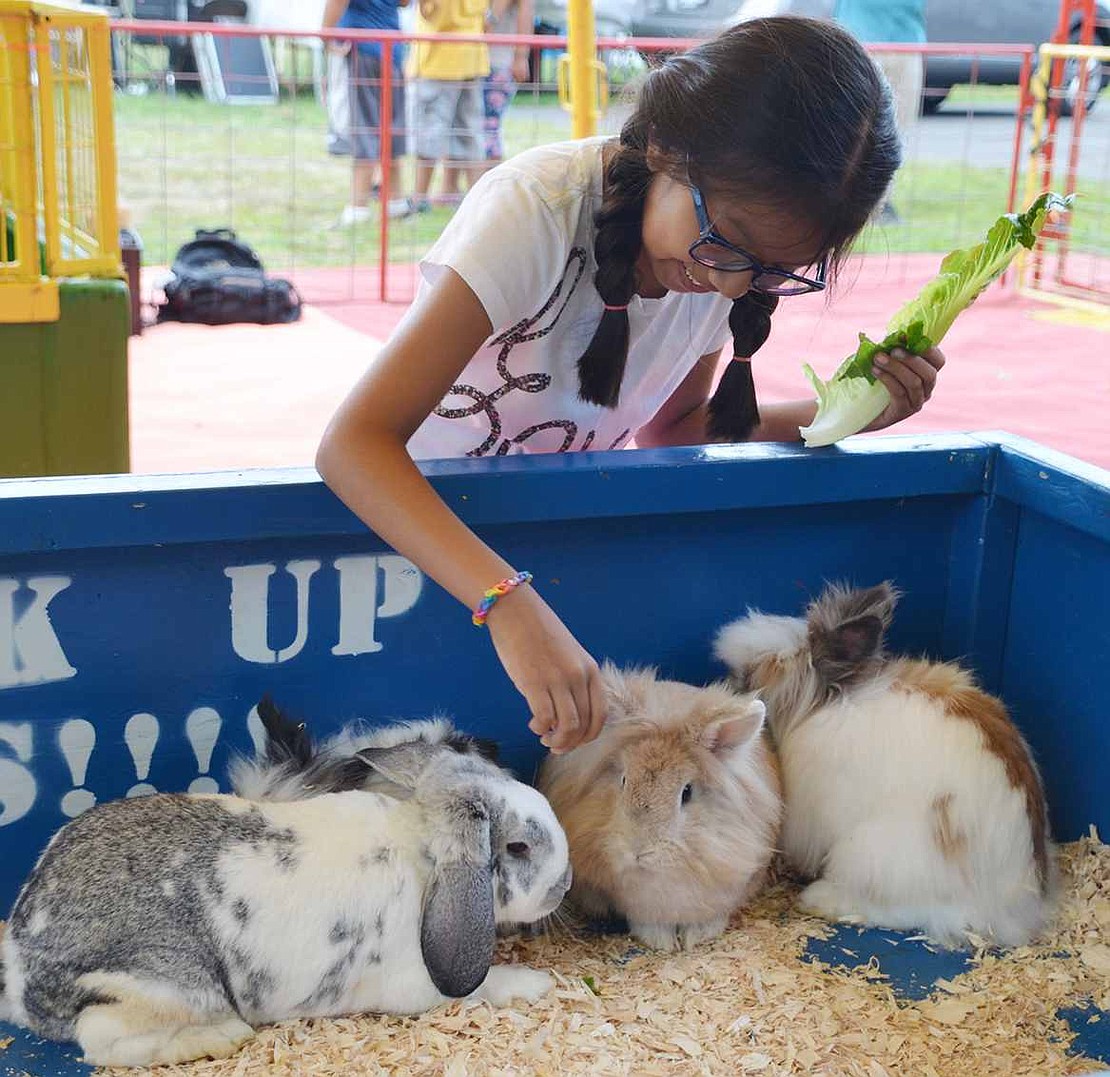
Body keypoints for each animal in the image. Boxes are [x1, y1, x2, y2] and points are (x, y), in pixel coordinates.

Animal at [714, 581, 1052, 945]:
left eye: (749, 677)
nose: (729, 688)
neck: (821, 702)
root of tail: (1013, 909)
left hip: (871, 856)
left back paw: (820, 898)